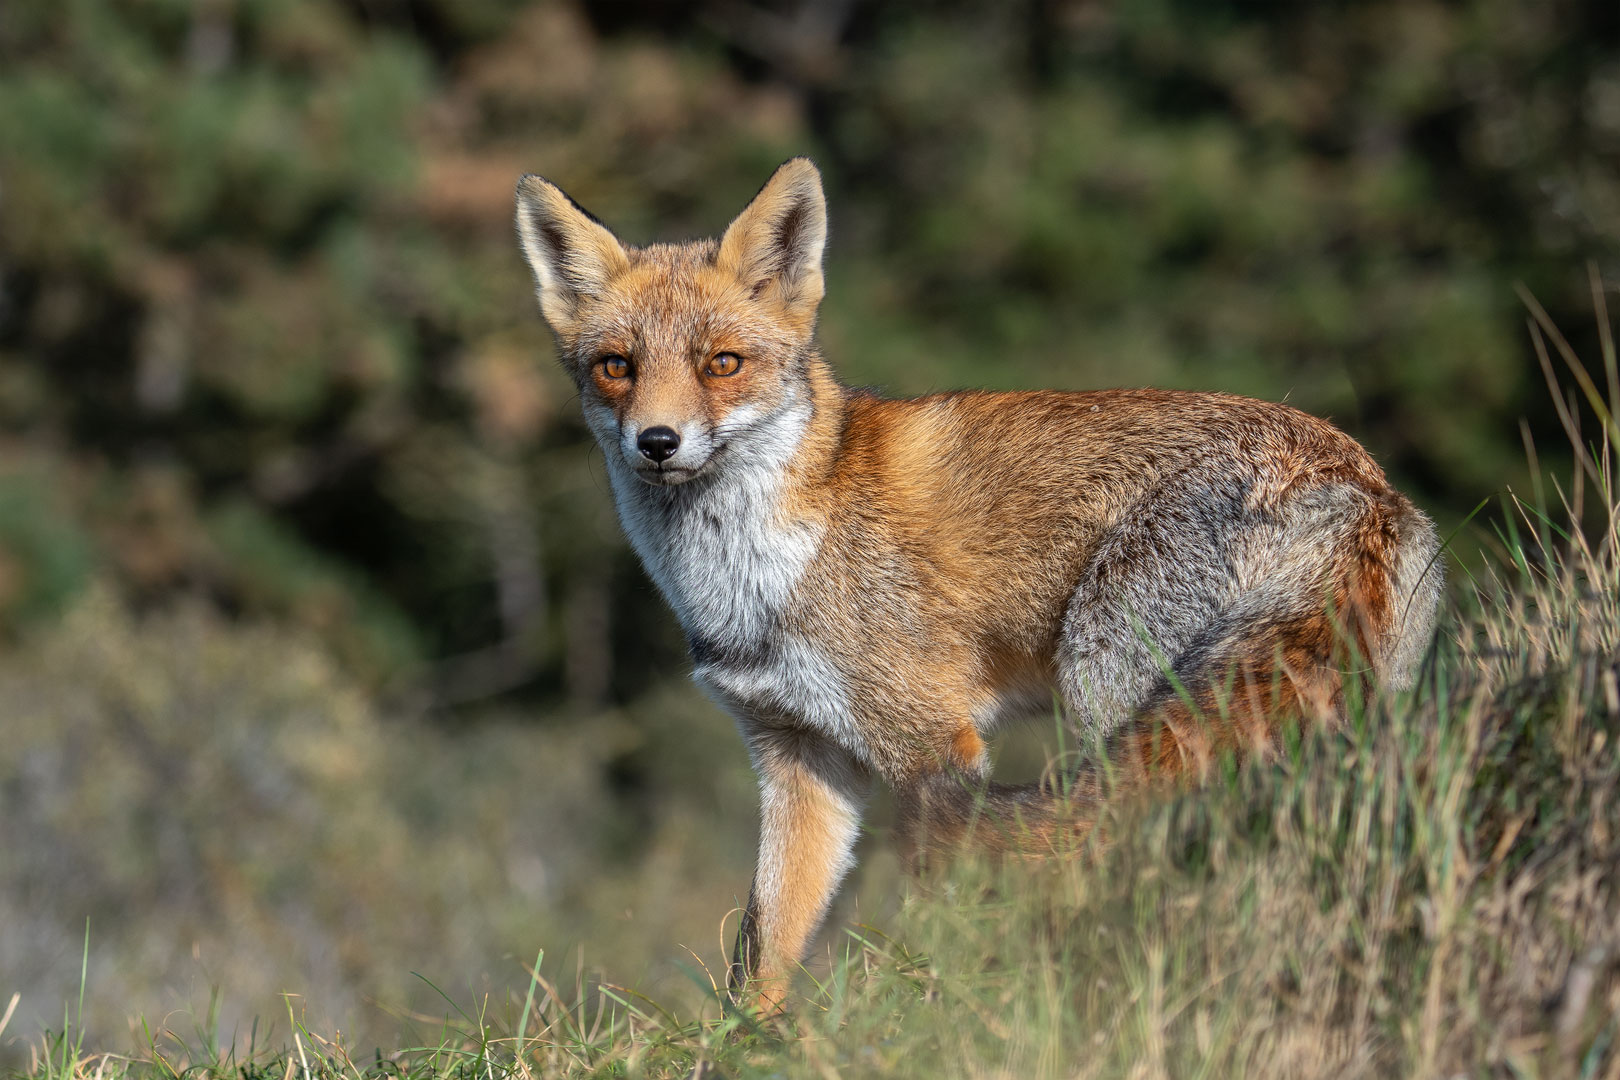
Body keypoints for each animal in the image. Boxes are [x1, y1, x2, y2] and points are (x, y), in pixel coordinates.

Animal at [508, 160, 1445, 1016]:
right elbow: (763, 951)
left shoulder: (933, 747)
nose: (657, 442)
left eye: (723, 364)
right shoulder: (797, 756)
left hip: (1112, 685)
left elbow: (935, 904)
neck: (757, 574)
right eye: (617, 367)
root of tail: (1356, 477)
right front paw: (747, 1049)